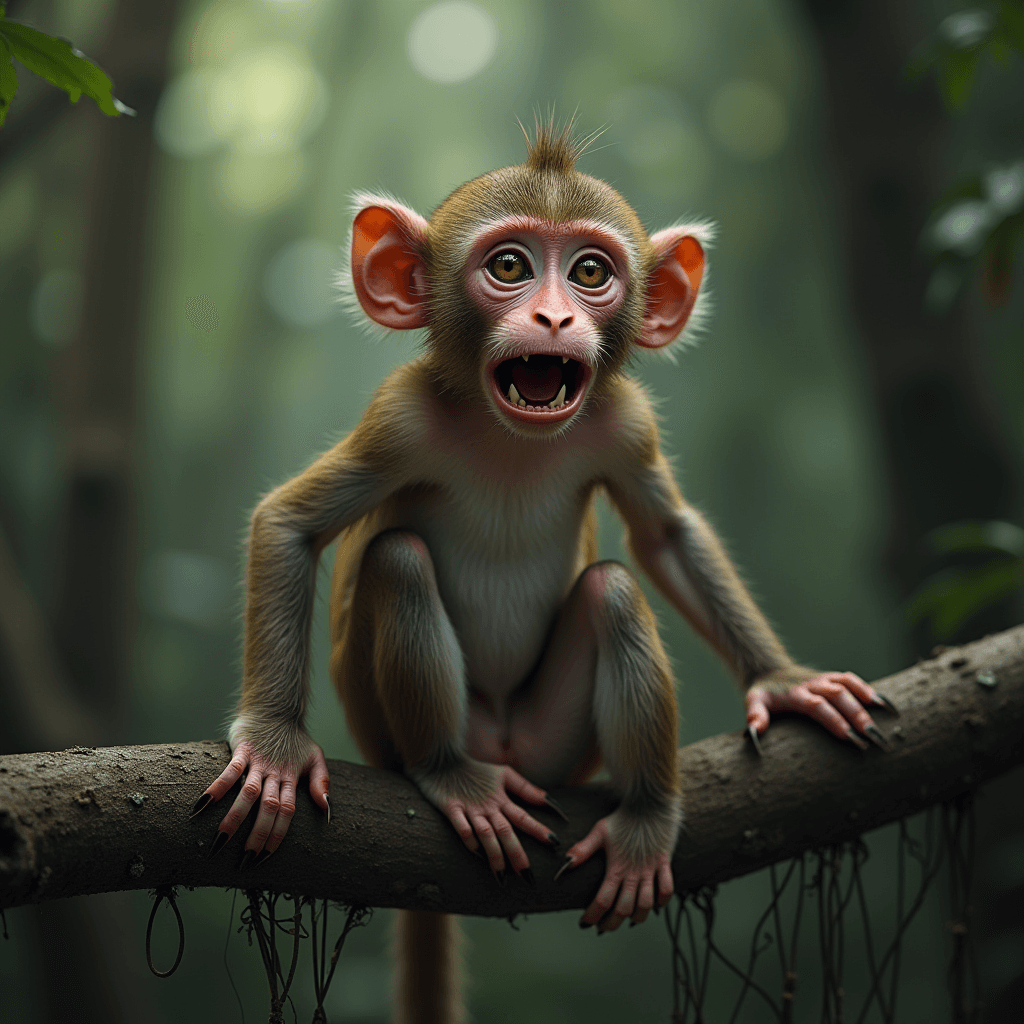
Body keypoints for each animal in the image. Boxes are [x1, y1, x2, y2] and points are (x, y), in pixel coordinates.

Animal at [193, 121, 897, 1024]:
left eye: (591, 272)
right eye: (510, 266)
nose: (555, 315)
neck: (511, 438)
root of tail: (503, 747)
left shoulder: (624, 422)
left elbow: (665, 537)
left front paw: (784, 682)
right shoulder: (400, 416)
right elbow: (289, 522)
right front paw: (278, 751)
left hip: (556, 748)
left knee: (613, 590)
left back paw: (645, 817)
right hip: (403, 732)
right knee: (399, 561)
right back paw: (452, 775)